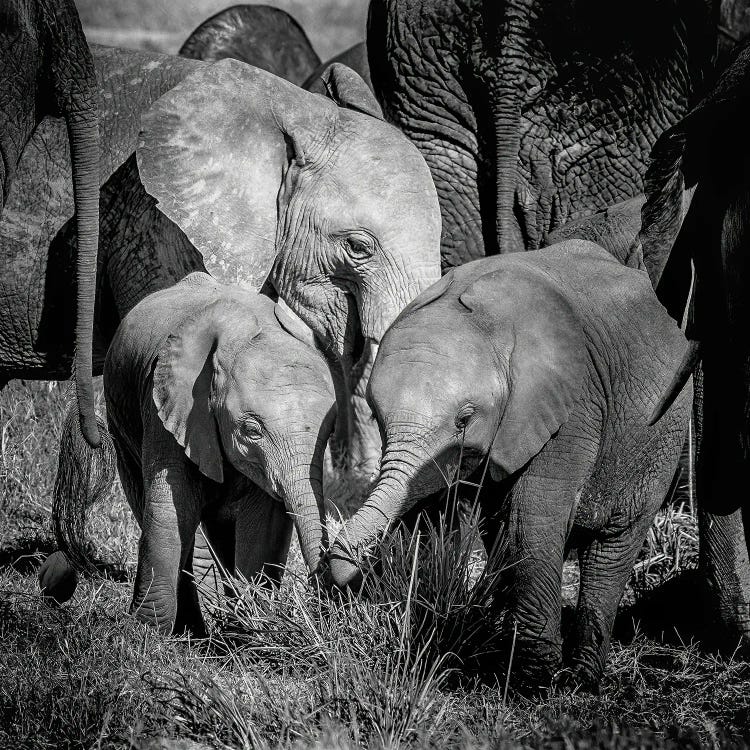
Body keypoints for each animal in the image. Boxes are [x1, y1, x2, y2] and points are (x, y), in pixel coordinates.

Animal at [40, 270, 334, 636]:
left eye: (331, 430)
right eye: (251, 431)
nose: (324, 607)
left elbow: (263, 521)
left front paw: (250, 635)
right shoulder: (167, 405)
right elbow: (171, 506)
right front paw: (147, 634)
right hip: (121, 424)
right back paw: (189, 633)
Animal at [332, 241, 696, 692]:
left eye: (464, 419)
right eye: (378, 418)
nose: (339, 571)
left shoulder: (573, 405)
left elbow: (533, 515)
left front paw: (534, 682)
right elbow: (440, 509)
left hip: (662, 433)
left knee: (613, 546)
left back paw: (581, 680)